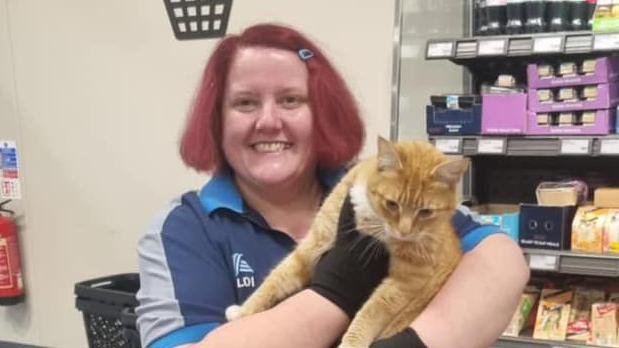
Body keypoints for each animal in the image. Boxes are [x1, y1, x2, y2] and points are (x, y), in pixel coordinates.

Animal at [225, 137, 468, 346]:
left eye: (426, 212)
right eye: (392, 204)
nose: (404, 232)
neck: (372, 218)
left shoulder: (406, 282)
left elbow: (371, 312)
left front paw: (352, 343)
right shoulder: (314, 244)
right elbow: (274, 280)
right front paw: (242, 312)